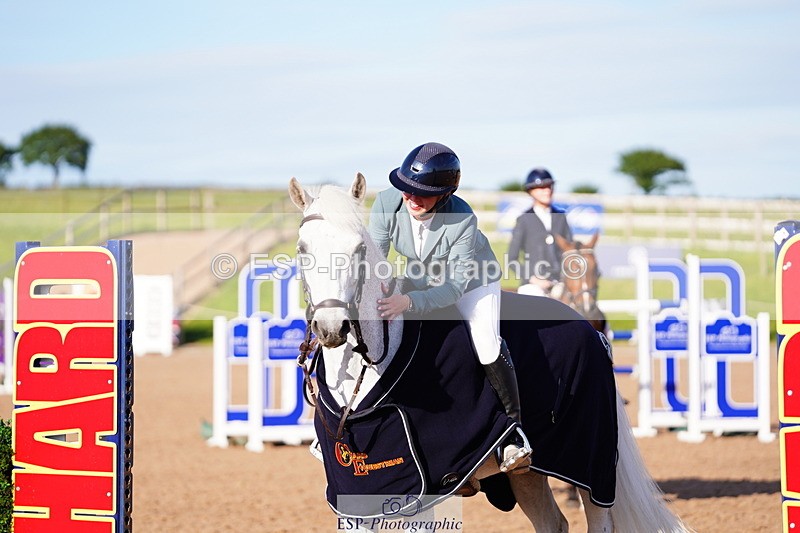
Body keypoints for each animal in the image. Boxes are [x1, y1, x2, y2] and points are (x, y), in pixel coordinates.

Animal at [289, 174, 691, 533]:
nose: (331, 328)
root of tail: (589, 329)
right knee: (552, 522)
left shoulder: (421, 494)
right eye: (302, 249)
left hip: (589, 462)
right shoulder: (357, 499)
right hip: (529, 472)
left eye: (359, 248)